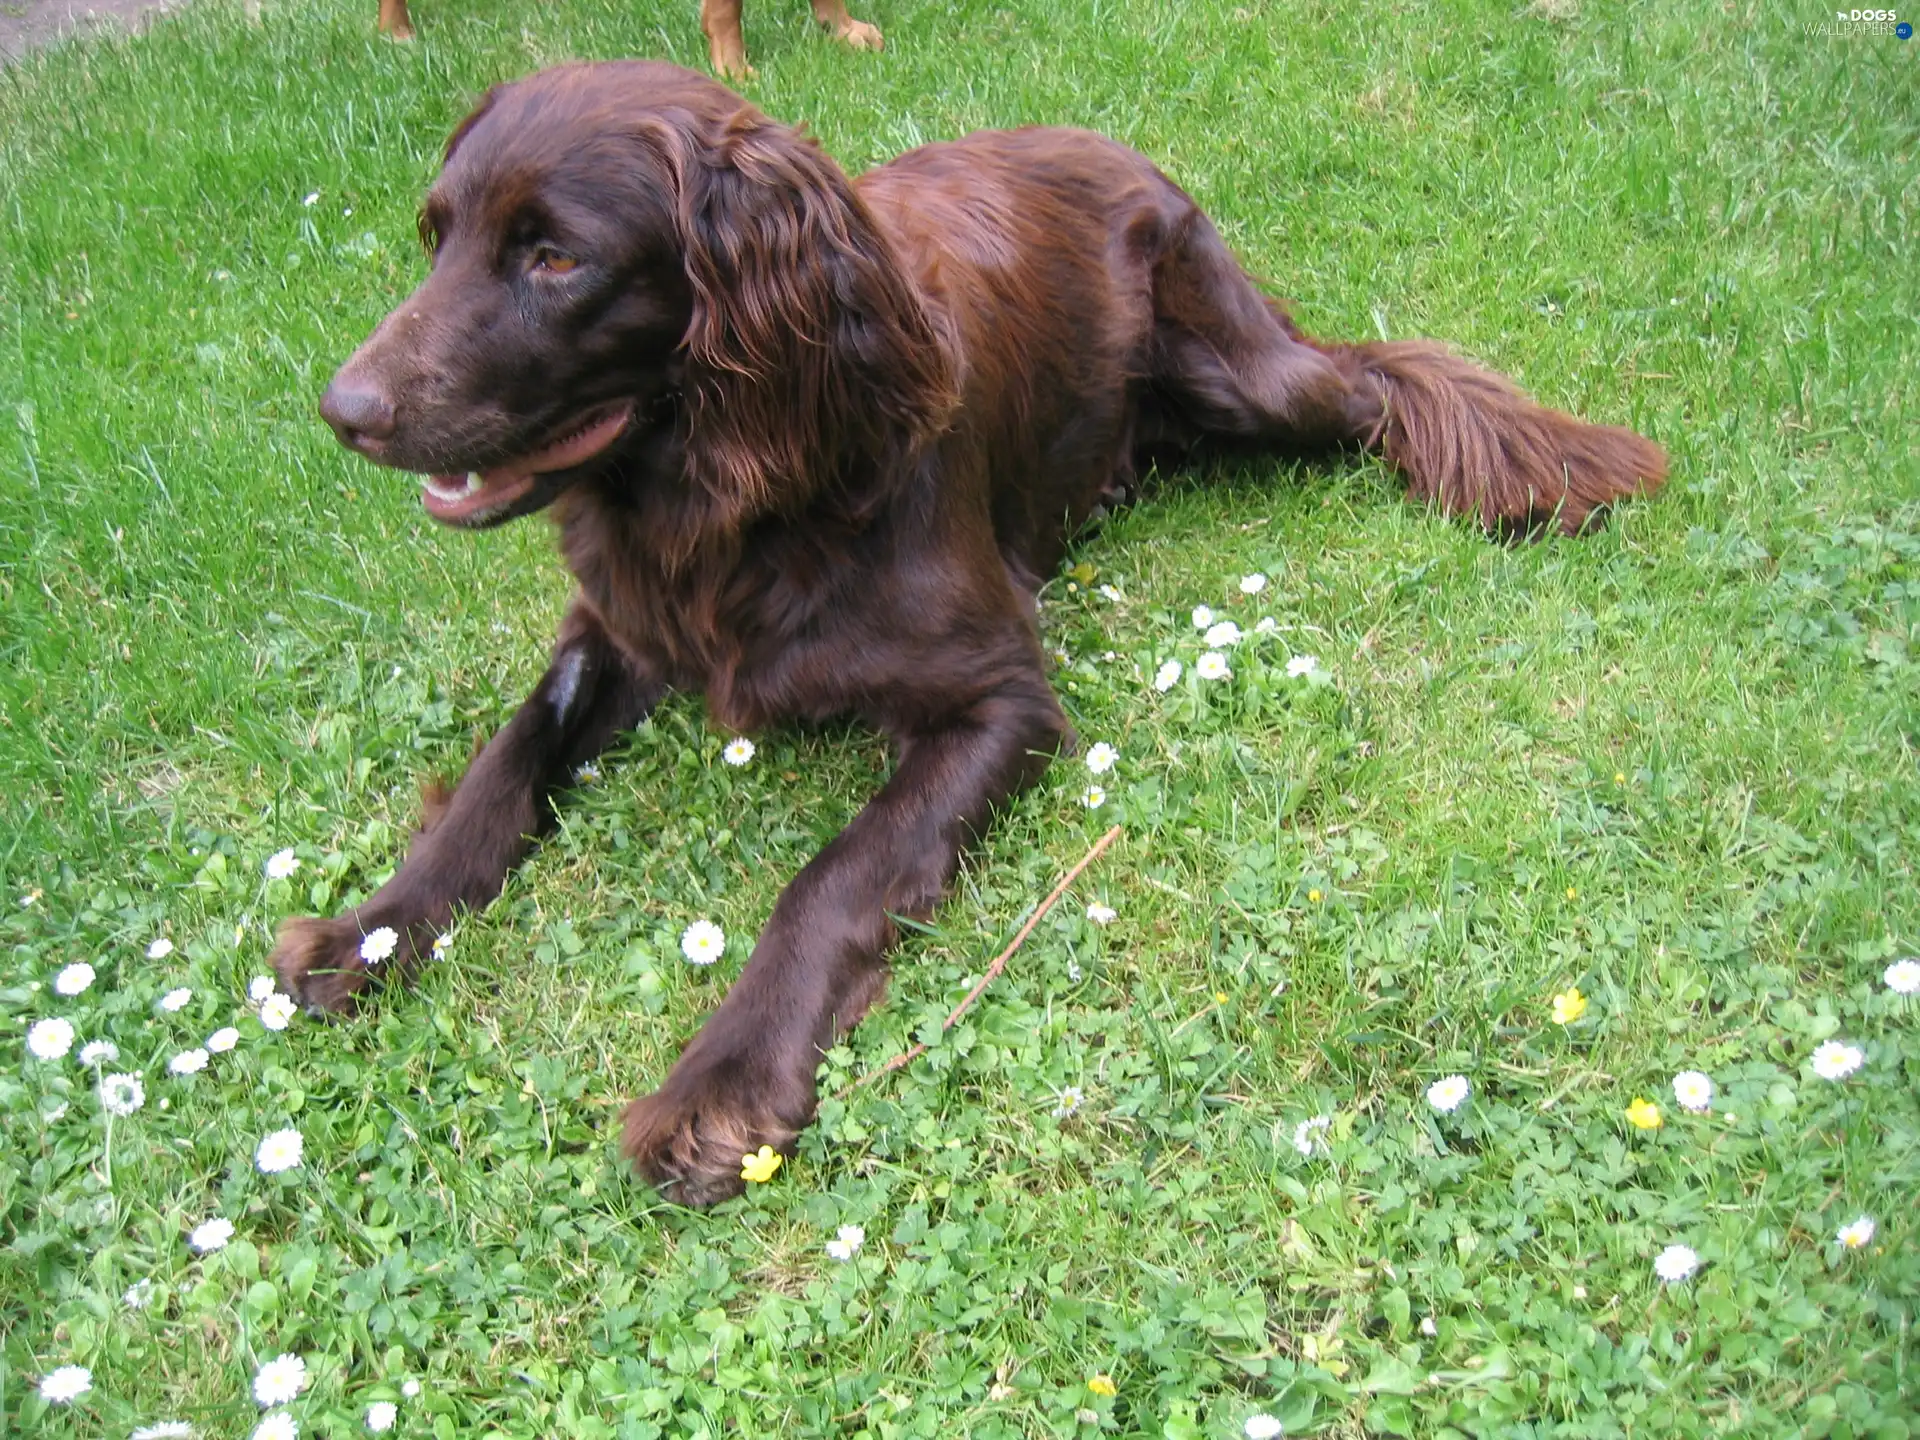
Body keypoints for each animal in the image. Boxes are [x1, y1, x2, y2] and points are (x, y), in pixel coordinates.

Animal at [280, 59, 1666, 1205]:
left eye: (556, 259)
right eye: (437, 237)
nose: (343, 410)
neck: (739, 494)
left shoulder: (1000, 700)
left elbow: (834, 873)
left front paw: (722, 1083)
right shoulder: (618, 625)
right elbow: (507, 761)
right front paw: (368, 929)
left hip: (1245, 372)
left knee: (1381, 384)